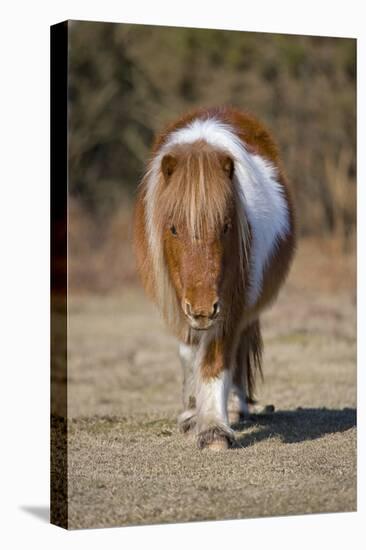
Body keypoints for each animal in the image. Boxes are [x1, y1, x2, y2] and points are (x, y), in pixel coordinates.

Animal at [133, 105, 296, 450]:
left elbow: (216, 360)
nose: (203, 308)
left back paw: (234, 407)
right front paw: (192, 415)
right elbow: (188, 354)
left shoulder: (231, 304)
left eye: (226, 226)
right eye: (173, 228)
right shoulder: (177, 303)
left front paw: (213, 430)